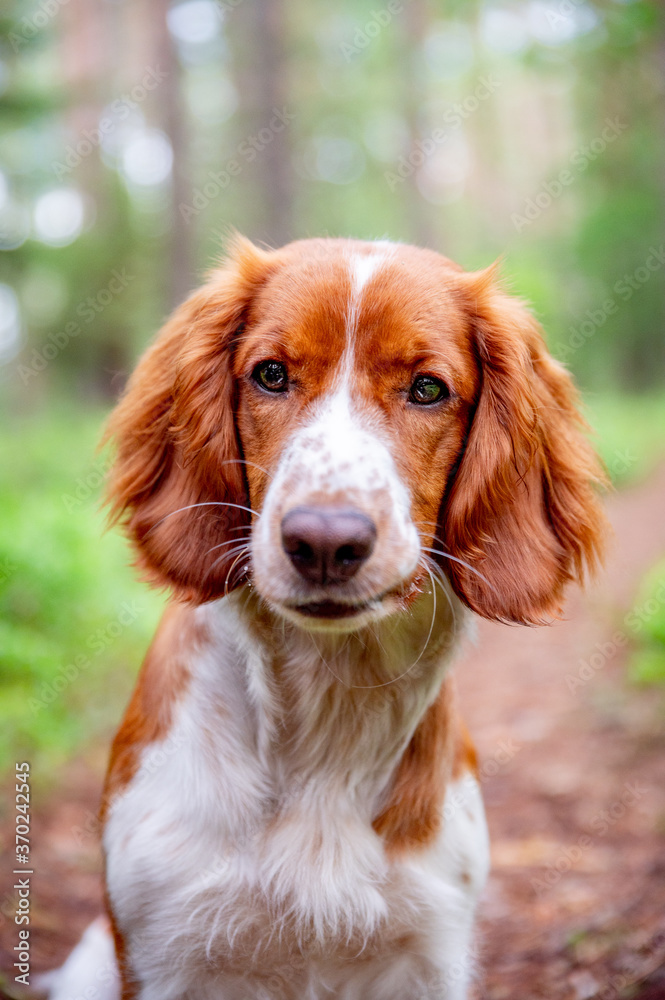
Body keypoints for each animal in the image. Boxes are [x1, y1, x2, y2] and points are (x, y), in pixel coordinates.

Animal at [44, 236, 604, 1000]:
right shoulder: (164, 950)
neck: (330, 713)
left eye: (428, 389)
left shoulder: (430, 949)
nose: (324, 542)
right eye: (271, 375)